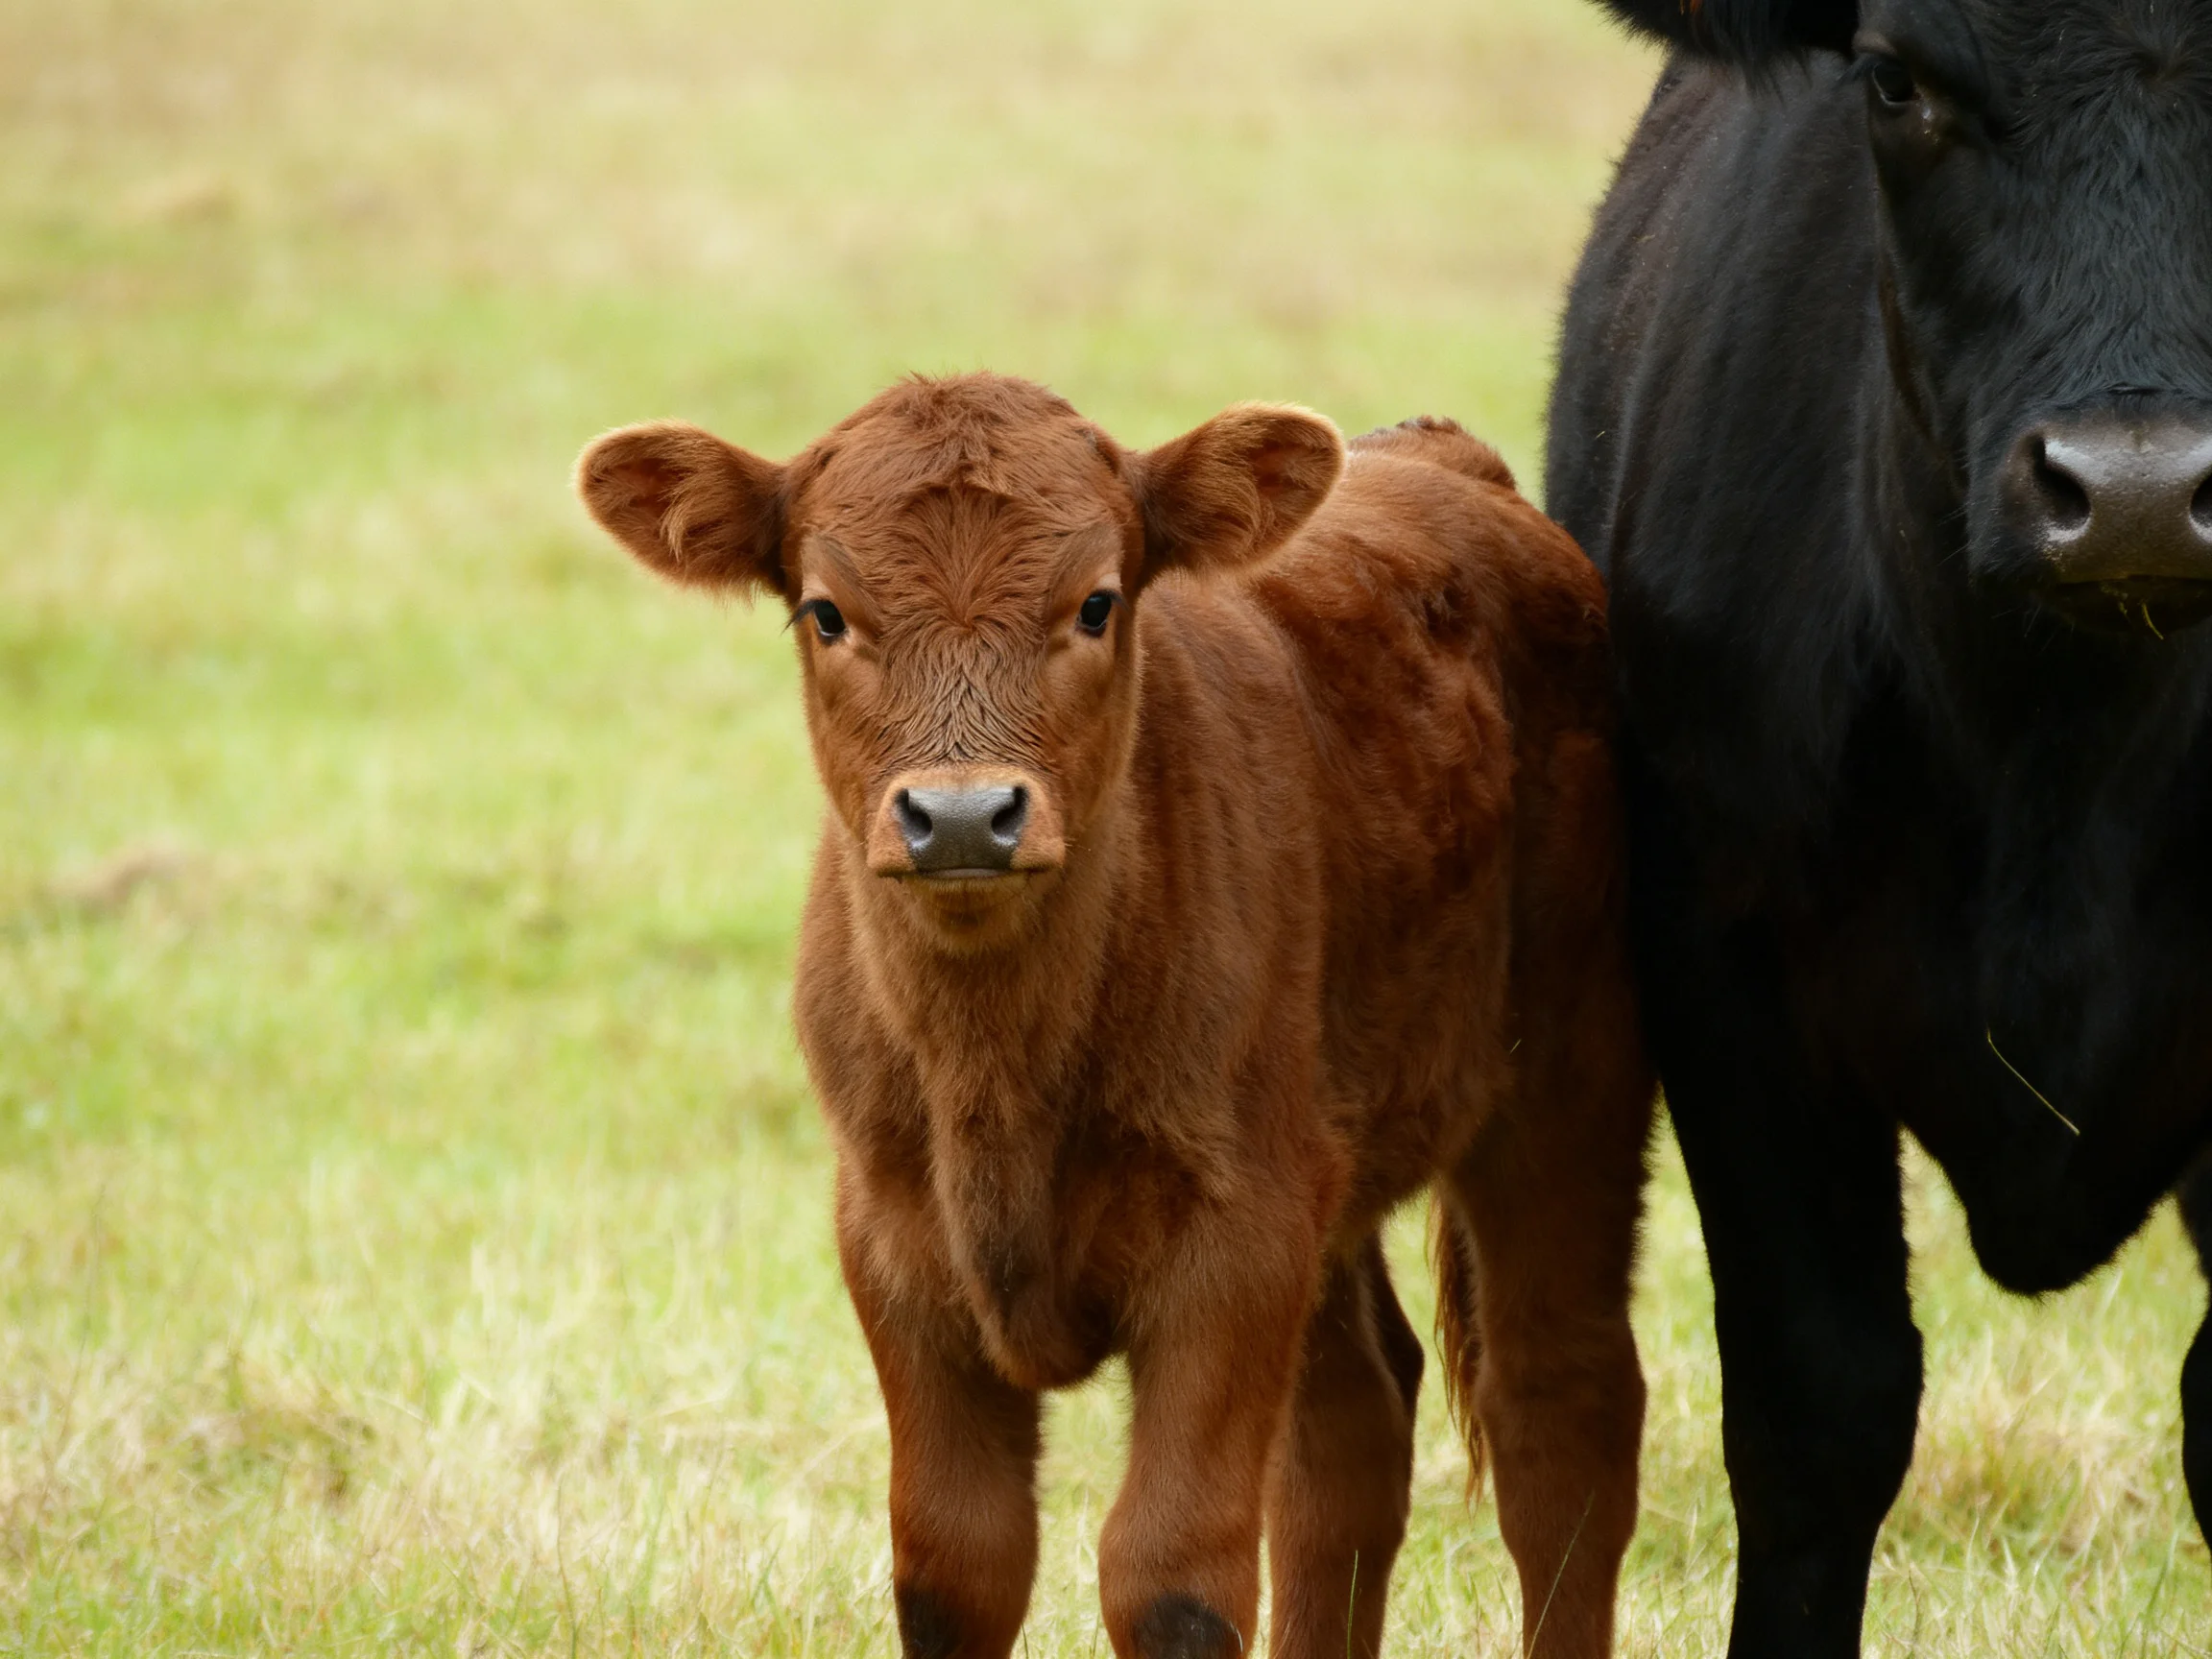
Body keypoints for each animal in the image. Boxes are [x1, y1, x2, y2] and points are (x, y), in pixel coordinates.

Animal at [575, 374, 1654, 1659]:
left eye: (1096, 603)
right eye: (826, 615)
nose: (962, 816)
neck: (995, 1069)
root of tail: (1443, 461)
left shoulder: (1234, 1239)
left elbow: (1172, 1571)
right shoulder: (891, 1238)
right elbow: (956, 1562)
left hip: (1566, 1089)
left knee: (1561, 1407)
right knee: (1352, 1429)